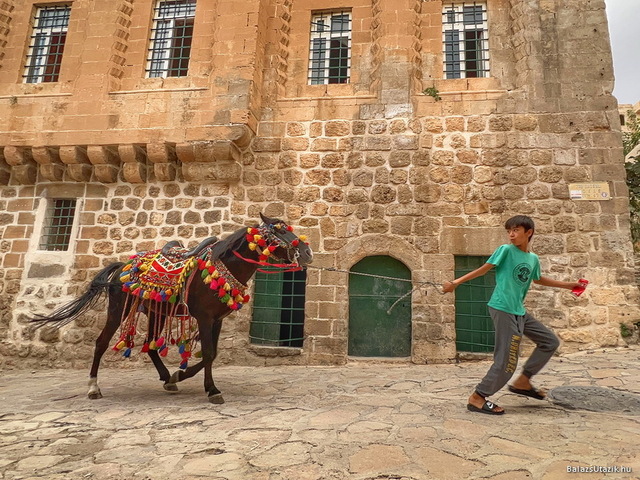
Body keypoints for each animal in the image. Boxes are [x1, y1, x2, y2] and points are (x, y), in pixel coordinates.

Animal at [31, 212, 314, 404]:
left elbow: (213, 354)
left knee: (151, 345)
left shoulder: (217, 319)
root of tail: (122, 265)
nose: (307, 252)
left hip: (155, 312)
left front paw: (181, 375)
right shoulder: (204, 317)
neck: (222, 268)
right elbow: (209, 354)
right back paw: (93, 388)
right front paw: (211, 390)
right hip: (118, 311)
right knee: (101, 343)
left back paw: (167, 379)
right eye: (279, 231)